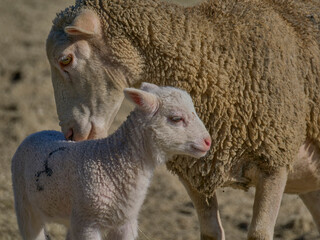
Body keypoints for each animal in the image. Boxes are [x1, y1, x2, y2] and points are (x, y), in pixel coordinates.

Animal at [10, 83, 210, 240]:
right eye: (176, 118)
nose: (208, 141)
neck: (112, 163)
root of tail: (37, 132)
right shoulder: (88, 222)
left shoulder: (125, 222)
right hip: (24, 203)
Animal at [46, 0, 320, 239]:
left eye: (65, 59)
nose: (70, 134)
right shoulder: (196, 172)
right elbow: (210, 233)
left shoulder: (274, 161)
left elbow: (259, 234)